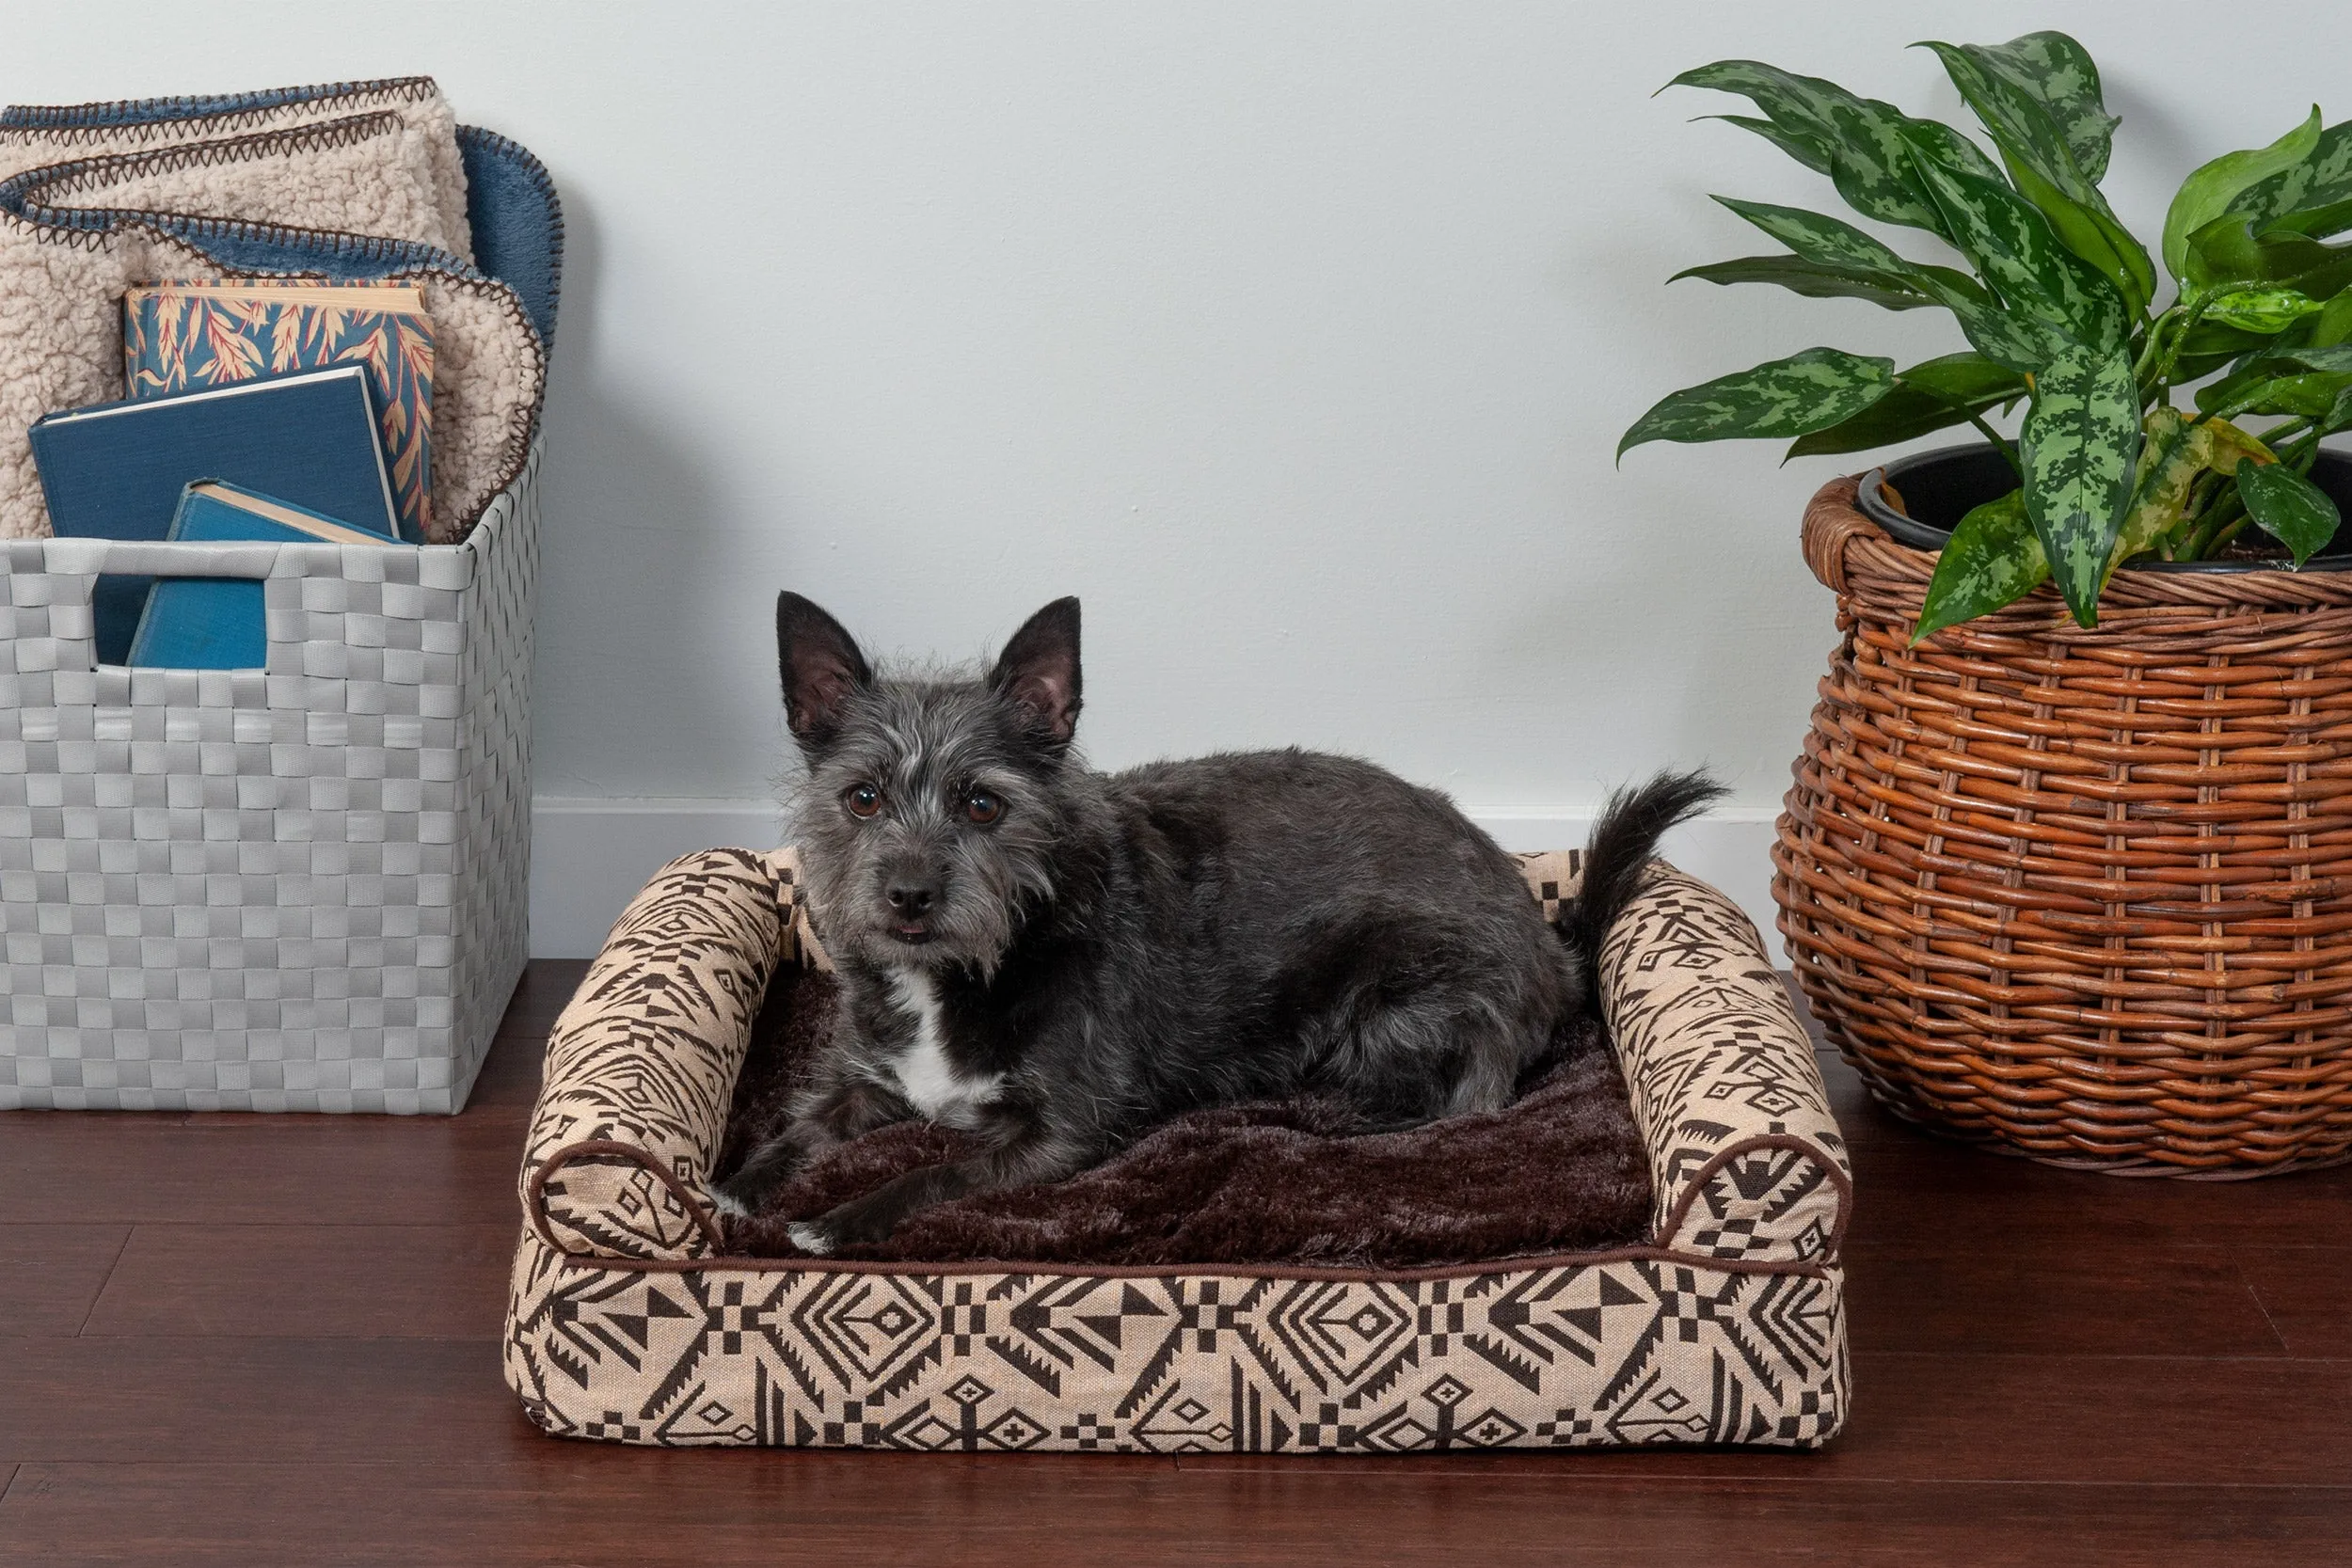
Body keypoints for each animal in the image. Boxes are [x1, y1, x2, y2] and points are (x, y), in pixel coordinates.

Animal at [706, 594, 1722, 1259]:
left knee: (1462, 1105)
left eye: (983, 803)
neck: (972, 968)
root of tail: (1552, 942)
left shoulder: (1061, 1131)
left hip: (1398, 997)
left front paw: (837, 1217)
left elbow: (937, 1172)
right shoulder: (862, 1078)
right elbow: (796, 1129)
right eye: (862, 797)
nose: (909, 895)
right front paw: (728, 1185)